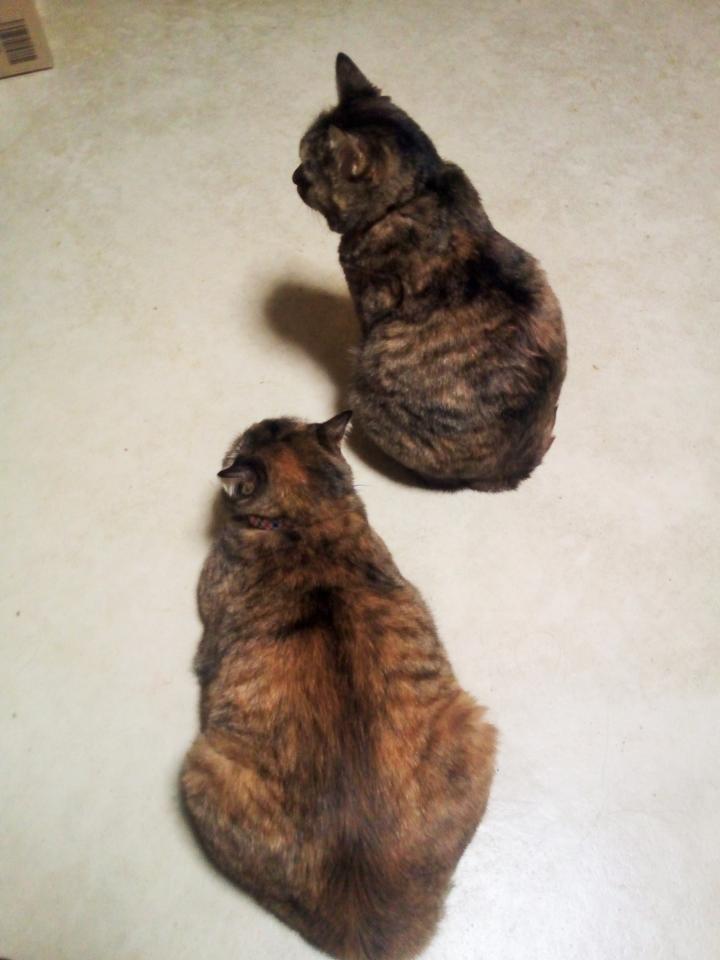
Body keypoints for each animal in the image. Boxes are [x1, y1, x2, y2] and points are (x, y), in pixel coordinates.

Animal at [292, 54, 567, 491]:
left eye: (308, 166)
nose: (293, 176)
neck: (418, 192)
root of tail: (511, 472)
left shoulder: (369, 299)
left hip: (368, 389)